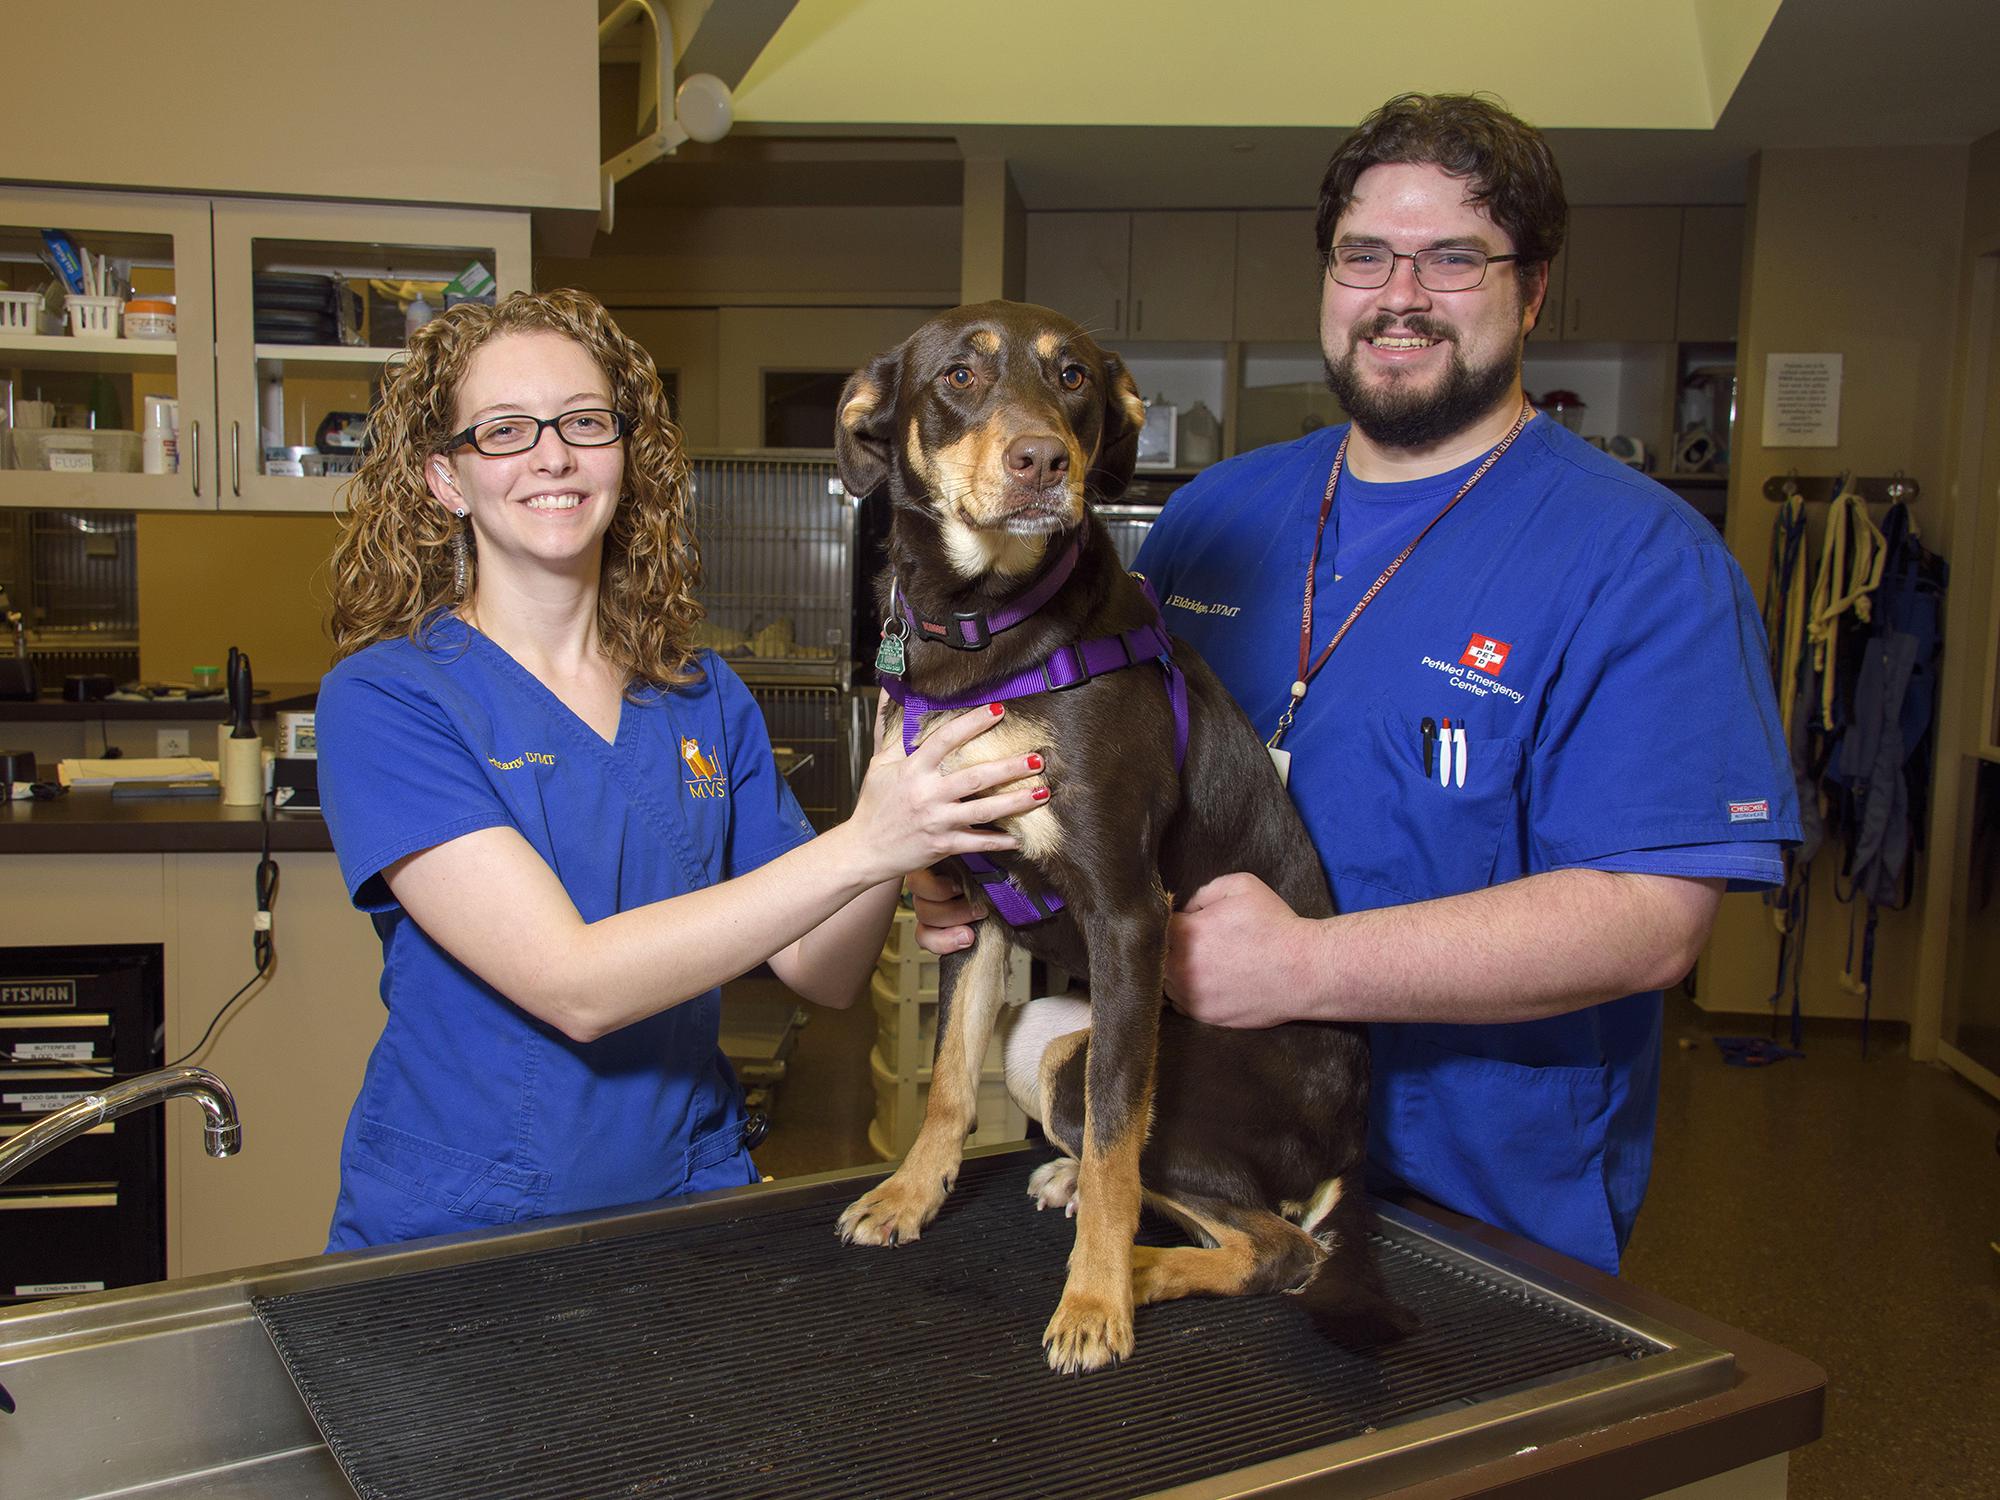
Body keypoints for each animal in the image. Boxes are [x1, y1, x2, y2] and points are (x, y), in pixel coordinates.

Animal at [828, 300, 1408, 1368]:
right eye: (960, 375)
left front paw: (1095, 1299)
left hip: (1116, 1065)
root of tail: (1349, 1136)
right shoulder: (974, 904)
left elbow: (1112, 1139)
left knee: (1272, 1244)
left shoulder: (1130, 913)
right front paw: (910, 1194)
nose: (1042, 461)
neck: (984, 637)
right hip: (1057, 1040)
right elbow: (947, 1082)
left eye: (1075, 379)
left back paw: (1138, 1269)